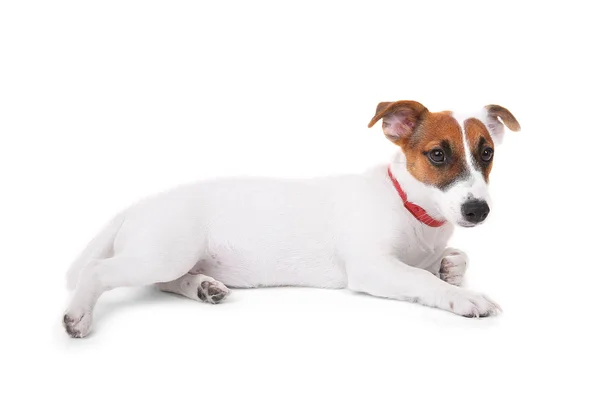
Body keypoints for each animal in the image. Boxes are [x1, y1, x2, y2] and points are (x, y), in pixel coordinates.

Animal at [62, 100, 520, 338]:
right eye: (437, 154)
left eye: (487, 152)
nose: (478, 210)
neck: (410, 207)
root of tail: (137, 205)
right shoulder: (372, 268)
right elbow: (422, 280)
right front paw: (464, 297)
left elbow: (453, 259)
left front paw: (450, 268)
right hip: (164, 252)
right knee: (99, 272)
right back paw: (78, 315)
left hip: (171, 258)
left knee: (161, 283)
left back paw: (204, 287)